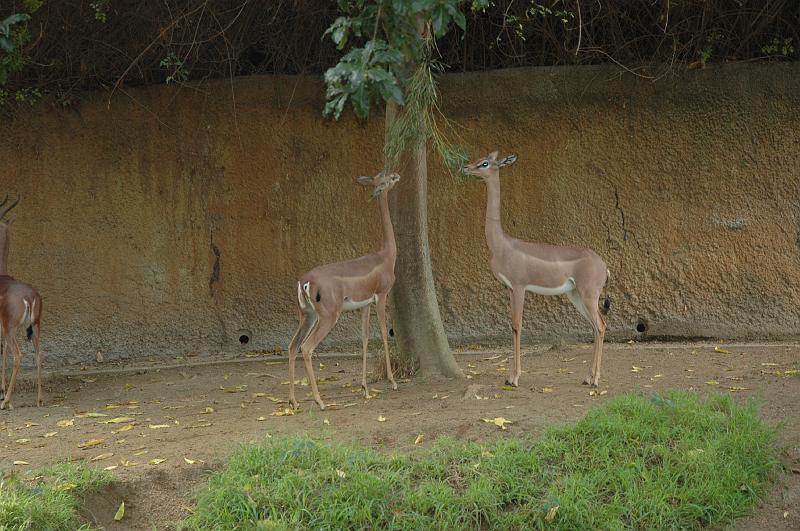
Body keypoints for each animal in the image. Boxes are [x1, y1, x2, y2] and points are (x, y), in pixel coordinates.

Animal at [288, 171, 400, 412]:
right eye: (384, 180)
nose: (396, 175)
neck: (386, 256)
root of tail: (305, 281)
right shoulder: (381, 296)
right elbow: (384, 333)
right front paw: (393, 381)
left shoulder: (365, 305)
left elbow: (365, 338)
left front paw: (365, 388)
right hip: (328, 317)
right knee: (306, 348)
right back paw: (319, 401)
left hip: (307, 316)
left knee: (293, 346)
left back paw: (293, 401)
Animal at [460, 152, 608, 388]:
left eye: (485, 163)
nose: (465, 167)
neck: (502, 245)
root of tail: (603, 265)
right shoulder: (509, 289)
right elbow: (513, 325)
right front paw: (509, 376)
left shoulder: (519, 287)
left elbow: (517, 325)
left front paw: (514, 378)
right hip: (575, 295)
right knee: (596, 327)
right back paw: (588, 378)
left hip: (589, 296)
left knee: (601, 326)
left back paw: (594, 381)